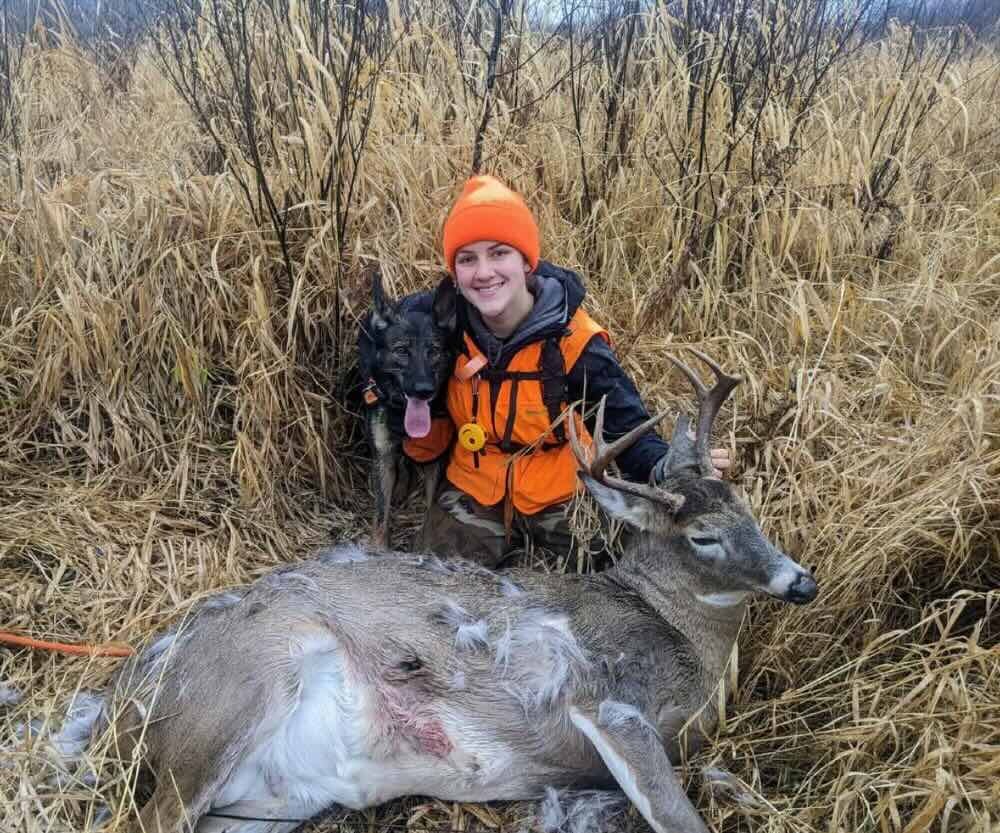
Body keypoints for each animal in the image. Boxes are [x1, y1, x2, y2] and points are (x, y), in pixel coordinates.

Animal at [64, 349, 817, 833]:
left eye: (750, 511)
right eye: (705, 538)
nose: (801, 581)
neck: (680, 633)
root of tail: (119, 703)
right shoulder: (613, 704)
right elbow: (678, 815)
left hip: (264, 805)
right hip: (239, 687)